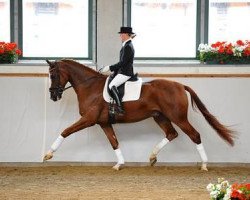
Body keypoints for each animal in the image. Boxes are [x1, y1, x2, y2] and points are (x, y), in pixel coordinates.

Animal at [43, 59, 234, 170]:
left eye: (53, 75)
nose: (53, 96)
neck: (89, 87)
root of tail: (180, 85)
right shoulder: (104, 122)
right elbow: (114, 142)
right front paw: (119, 164)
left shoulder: (88, 119)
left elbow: (65, 131)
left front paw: (48, 154)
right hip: (160, 116)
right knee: (171, 134)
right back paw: (152, 157)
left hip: (178, 117)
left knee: (194, 135)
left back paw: (204, 165)